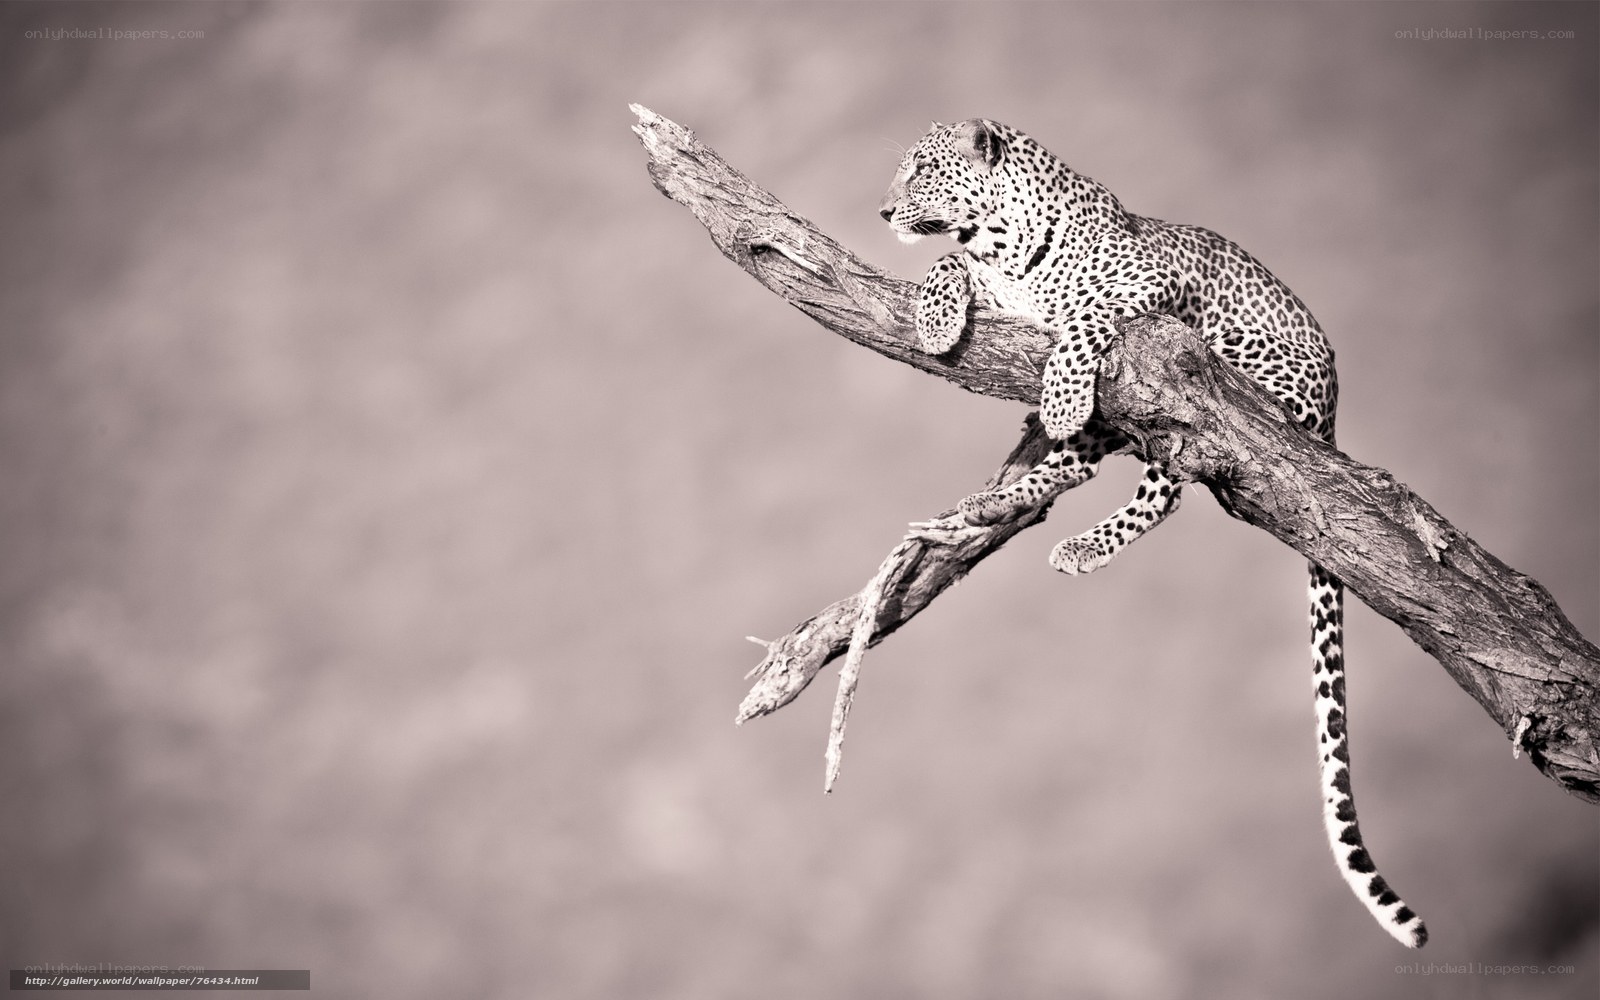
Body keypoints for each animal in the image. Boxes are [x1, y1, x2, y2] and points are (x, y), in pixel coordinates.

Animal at [878, 118, 1427, 949]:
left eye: (923, 170)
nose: (882, 211)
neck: (1000, 243)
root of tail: (1333, 411)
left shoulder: (1143, 288)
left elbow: (1081, 318)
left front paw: (1060, 391)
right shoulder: (992, 280)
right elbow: (948, 263)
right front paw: (939, 320)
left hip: (1213, 374)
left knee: (1167, 481)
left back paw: (1071, 524)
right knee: (1086, 469)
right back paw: (988, 506)